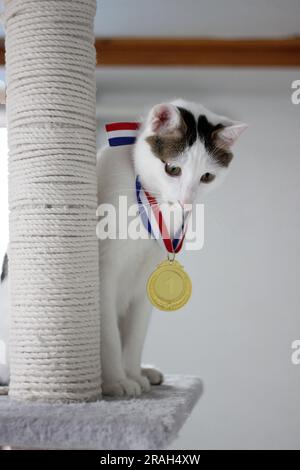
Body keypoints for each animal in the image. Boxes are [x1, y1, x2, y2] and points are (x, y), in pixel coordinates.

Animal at [0, 100, 246, 396]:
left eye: (207, 177)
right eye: (172, 169)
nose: (186, 201)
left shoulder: (144, 281)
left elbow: (135, 337)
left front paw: (132, 374)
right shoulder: (103, 273)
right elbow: (109, 337)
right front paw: (116, 380)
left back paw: (145, 371)